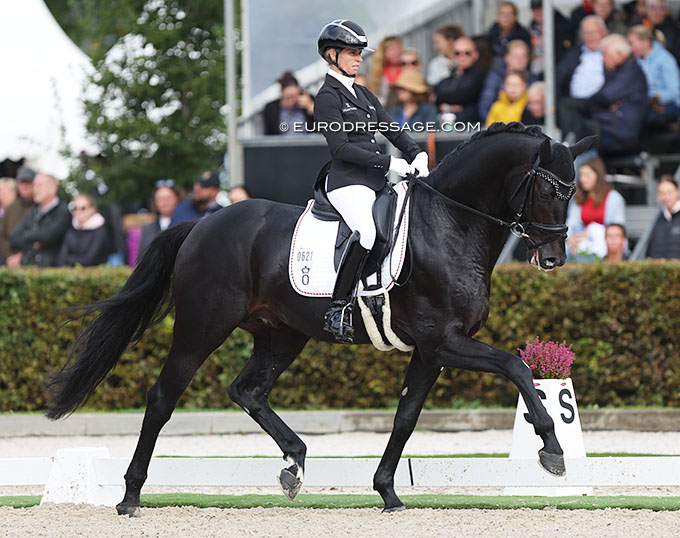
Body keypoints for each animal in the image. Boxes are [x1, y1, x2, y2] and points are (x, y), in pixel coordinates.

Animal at [46, 123, 596, 512]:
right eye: (549, 191)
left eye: (573, 193)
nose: (553, 258)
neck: (449, 224)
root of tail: (203, 222)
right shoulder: (445, 341)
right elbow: (517, 366)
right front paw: (551, 447)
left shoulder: (430, 351)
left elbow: (406, 415)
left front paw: (387, 492)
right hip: (202, 328)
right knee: (164, 397)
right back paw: (130, 496)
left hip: (283, 335)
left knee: (247, 390)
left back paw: (294, 463)